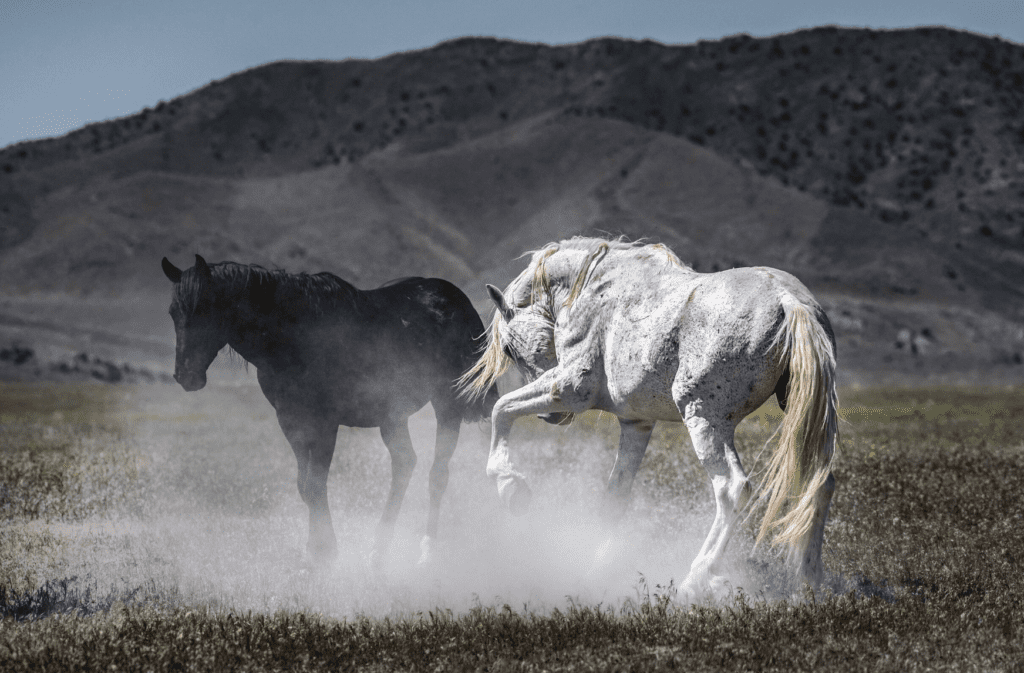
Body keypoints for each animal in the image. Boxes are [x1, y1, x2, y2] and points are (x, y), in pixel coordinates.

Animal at [160, 255, 499, 565]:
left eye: (203, 308)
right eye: (173, 312)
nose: (185, 376)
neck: (294, 336)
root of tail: (456, 298)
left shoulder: (325, 422)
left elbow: (315, 483)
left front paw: (324, 553)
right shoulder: (291, 421)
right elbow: (305, 485)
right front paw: (316, 550)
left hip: (446, 403)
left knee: (437, 473)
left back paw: (427, 551)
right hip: (393, 416)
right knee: (405, 463)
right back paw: (379, 549)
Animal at [460, 237, 835, 598]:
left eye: (508, 349)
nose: (552, 417)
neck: (588, 292)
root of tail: (788, 300)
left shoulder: (569, 389)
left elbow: (501, 410)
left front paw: (510, 486)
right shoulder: (635, 423)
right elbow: (615, 496)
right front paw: (594, 575)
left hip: (704, 416)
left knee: (732, 488)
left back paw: (696, 579)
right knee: (820, 483)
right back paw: (810, 582)